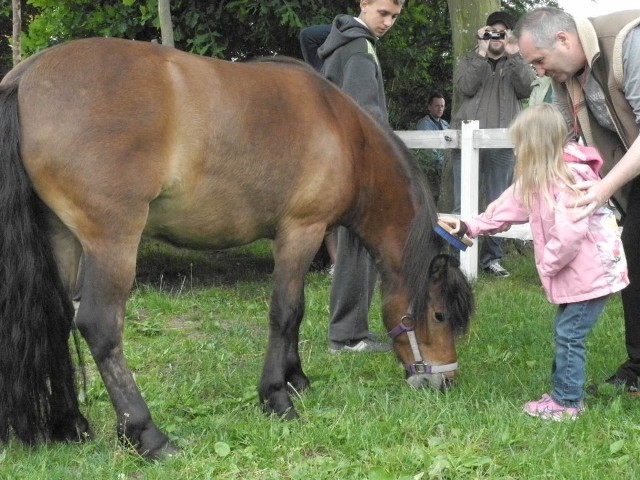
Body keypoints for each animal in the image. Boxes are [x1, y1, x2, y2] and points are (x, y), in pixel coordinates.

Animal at [0, 36, 470, 458]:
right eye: (439, 315)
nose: (444, 382)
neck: (343, 133)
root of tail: (25, 77)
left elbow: (295, 312)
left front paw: (297, 379)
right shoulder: (302, 231)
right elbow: (286, 312)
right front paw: (277, 397)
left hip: (62, 237)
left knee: (56, 318)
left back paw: (69, 425)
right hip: (113, 242)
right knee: (99, 326)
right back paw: (148, 435)